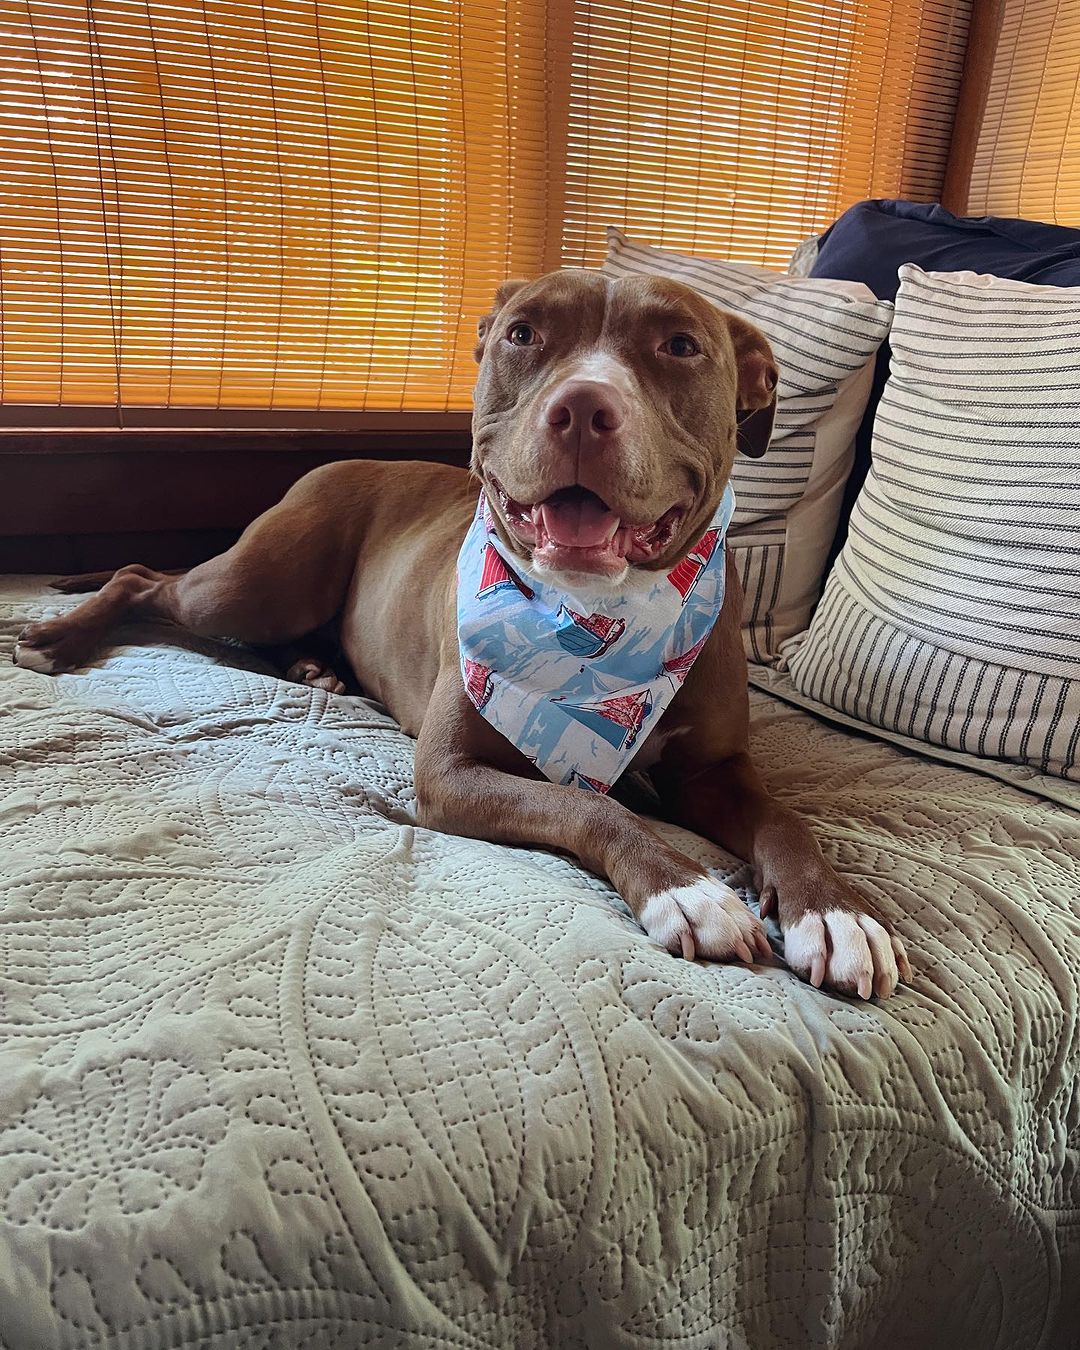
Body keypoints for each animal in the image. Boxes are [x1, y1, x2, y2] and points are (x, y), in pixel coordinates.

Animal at [14, 268, 912, 999]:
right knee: (143, 577)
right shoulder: (451, 772)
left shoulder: (715, 772)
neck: (598, 624)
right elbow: (586, 806)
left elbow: (784, 821)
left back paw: (314, 667)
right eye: (524, 334)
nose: (582, 407)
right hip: (251, 586)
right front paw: (687, 890)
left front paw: (837, 912)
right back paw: (57, 638)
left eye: (681, 345)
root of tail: (340, 463)